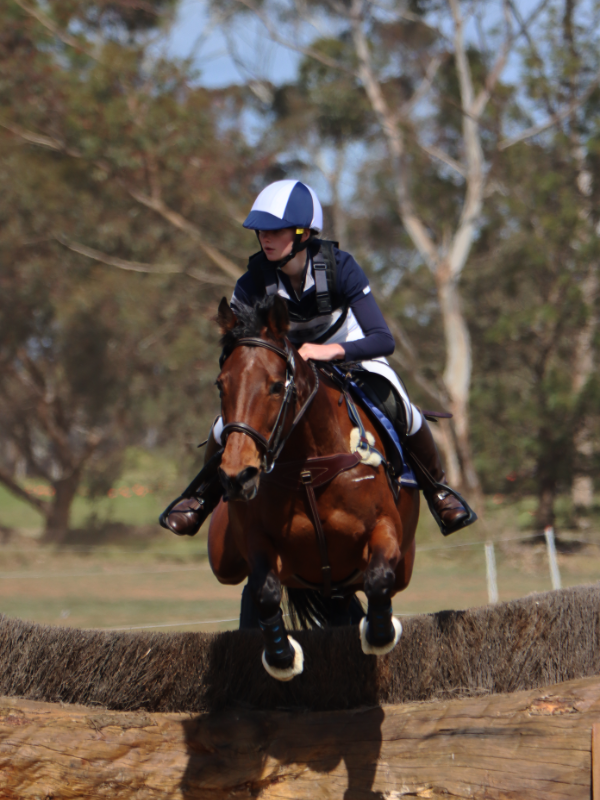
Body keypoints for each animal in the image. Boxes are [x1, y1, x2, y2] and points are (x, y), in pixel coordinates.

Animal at [208, 295, 420, 681]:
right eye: (221, 385)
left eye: (276, 385)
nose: (237, 477)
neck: (308, 469)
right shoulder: (258, 539)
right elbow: (265, 590)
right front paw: (282, 657)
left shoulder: (384, 529)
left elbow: (378, 578)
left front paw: (379, 633)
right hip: (224, 560)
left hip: (401, 564)